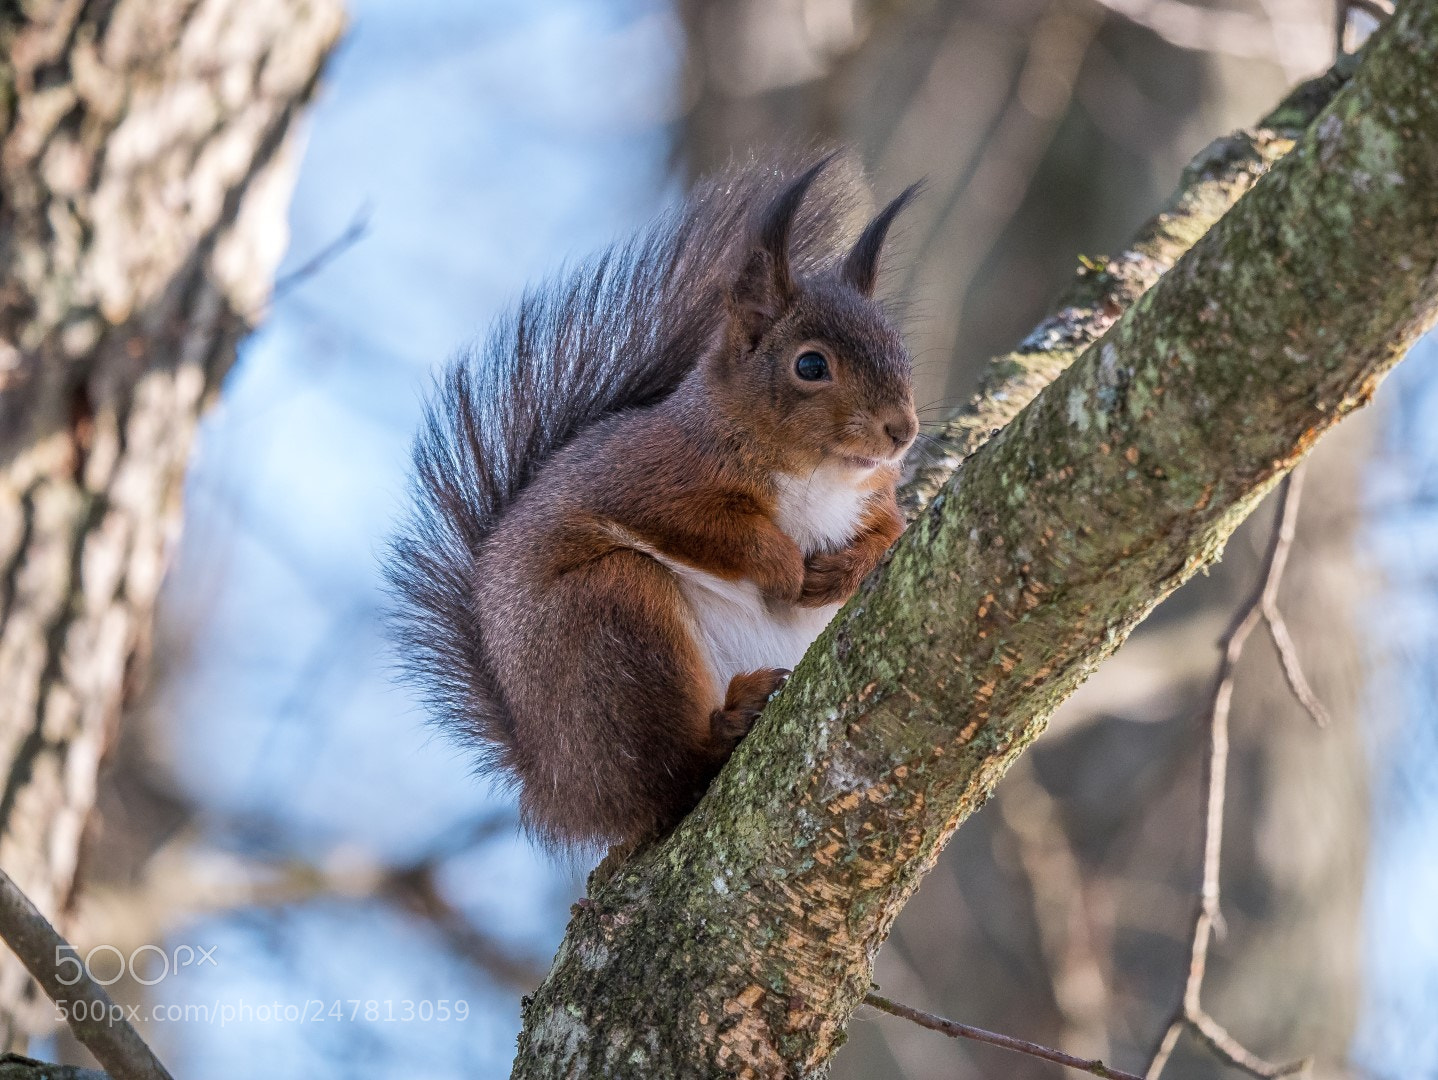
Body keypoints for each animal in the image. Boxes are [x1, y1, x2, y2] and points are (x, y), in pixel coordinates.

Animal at [387, 152, 920, 852]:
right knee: (670, 774)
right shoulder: (650, 475)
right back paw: (729, 722)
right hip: (613, 624)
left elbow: (890, 530)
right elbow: (710, 529)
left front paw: (842, 570)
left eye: (904, 353)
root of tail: (559, 787)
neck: (819, 473)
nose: (902, 430)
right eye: (810, 366)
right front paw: (783, 565)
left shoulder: (875, 499)